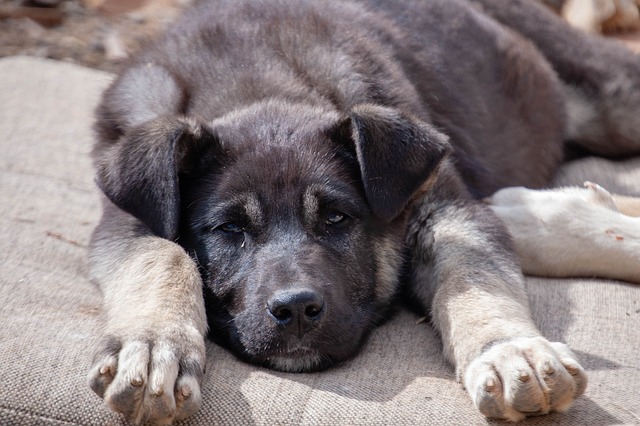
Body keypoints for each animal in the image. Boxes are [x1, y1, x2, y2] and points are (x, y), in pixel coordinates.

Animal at [87, 0, 640, 424]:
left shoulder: (446, 209)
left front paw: (508, 349)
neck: (259, 83)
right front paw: (153, 347)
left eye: (337, 218)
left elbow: (475, 277)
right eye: (229, 229)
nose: (295, 310)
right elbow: (162, 257)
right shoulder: (129, 216)